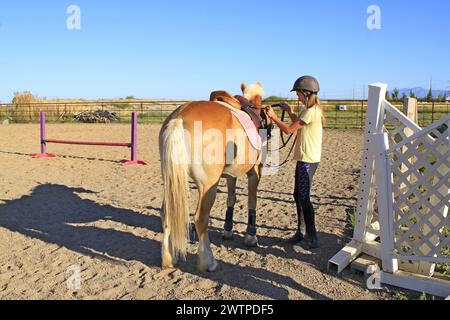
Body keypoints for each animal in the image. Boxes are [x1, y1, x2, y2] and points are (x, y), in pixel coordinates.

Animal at [160, 83, 268, 272]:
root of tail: (179, 118)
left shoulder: (231, 175)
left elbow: (231, 199)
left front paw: (228, 231)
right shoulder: (254, 172)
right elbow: (251, 201)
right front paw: (251, 236)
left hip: (170, 183)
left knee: (166, 213)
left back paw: (169, 258)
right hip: (207, 186)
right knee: (200, 218)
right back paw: (207, 262)